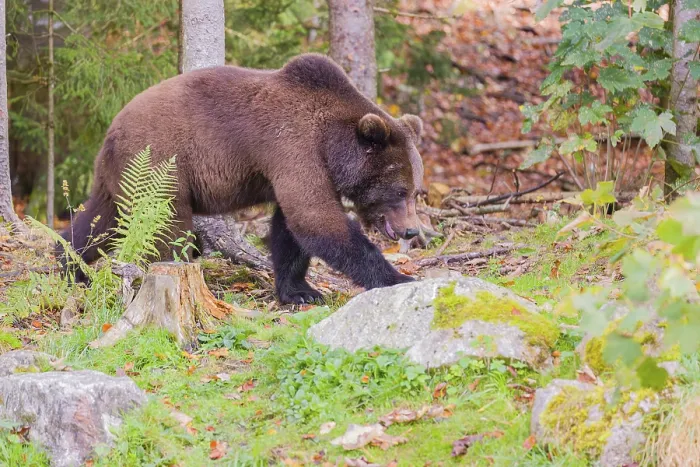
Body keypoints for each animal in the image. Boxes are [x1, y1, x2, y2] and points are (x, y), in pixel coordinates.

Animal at [58, 53, 425, 305]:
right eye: (400, 191)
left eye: (416, 192)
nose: (411, 230)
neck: (331, 146)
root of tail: (111, 131)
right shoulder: (293, 149)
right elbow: (315, 220)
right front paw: (398, 278)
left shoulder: (291, 166)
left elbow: (289, 230)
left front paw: (299, 291)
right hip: (161, 164)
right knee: (166, 227)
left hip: (121, 179)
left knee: (98, 221)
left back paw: (68, 265)